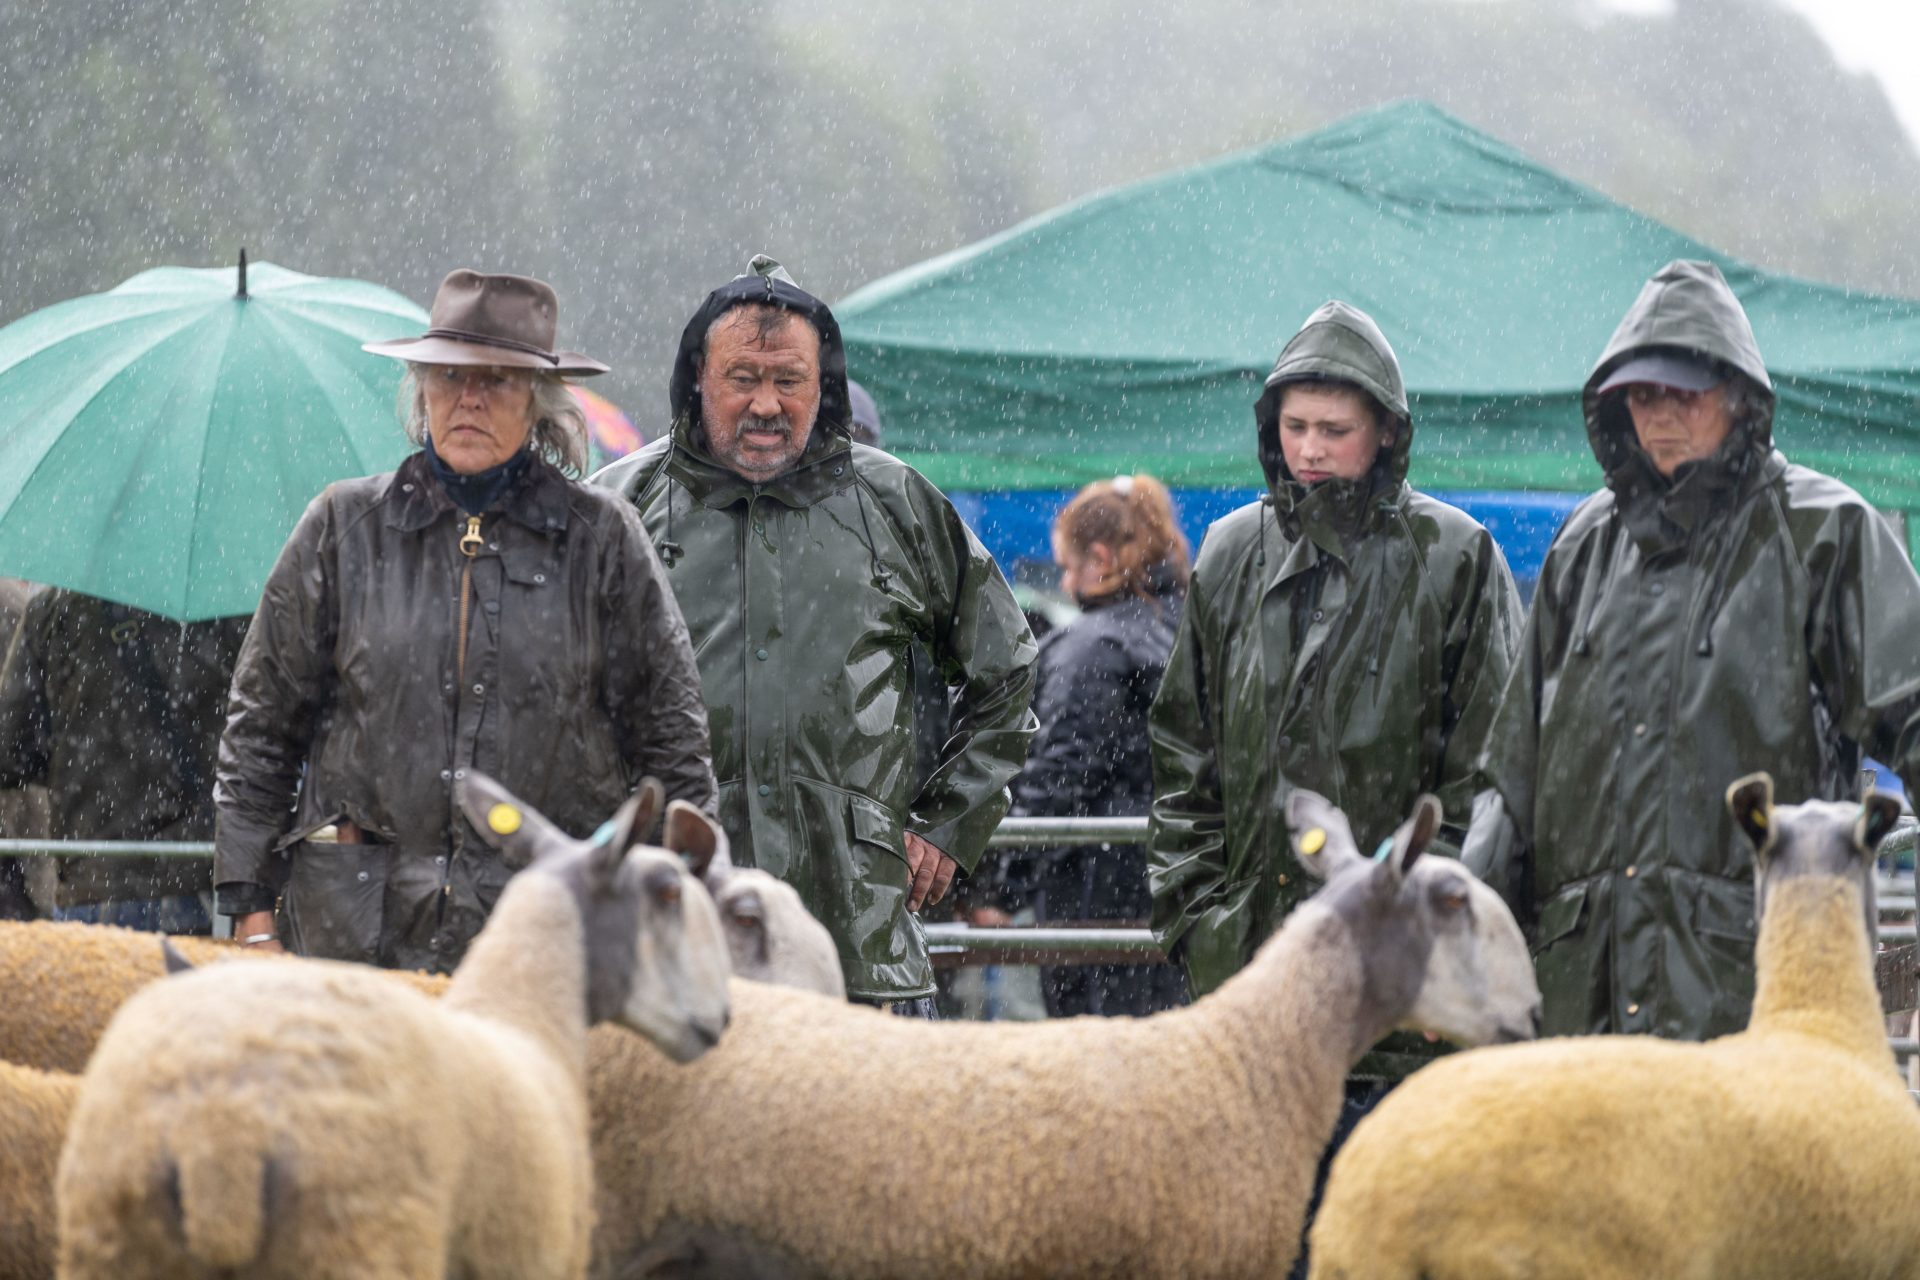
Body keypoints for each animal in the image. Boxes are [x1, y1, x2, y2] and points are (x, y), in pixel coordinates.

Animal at [52, 771, 729, 1280]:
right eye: (669, 891)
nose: (721, 1018)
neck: (524, 1013)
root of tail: (220, 1143)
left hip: (107, 1237)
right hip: (361, 1244)